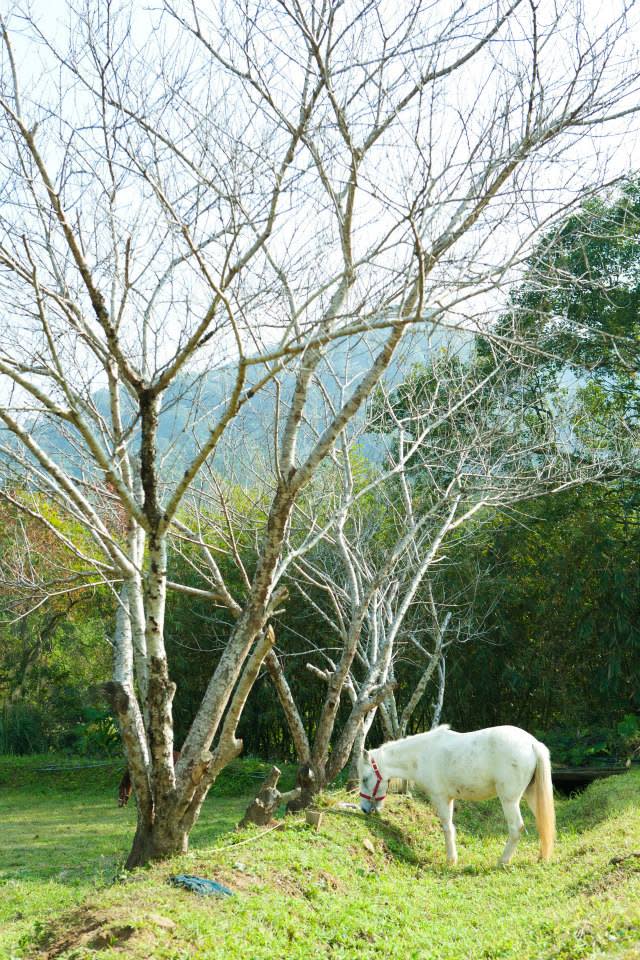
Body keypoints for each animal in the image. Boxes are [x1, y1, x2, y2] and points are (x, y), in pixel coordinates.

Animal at [360, 724, 556, 868]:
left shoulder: (440, 798)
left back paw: (502, 861)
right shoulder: (450, 799)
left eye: (364, 778)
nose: (364, 809)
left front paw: (451, 860)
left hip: (509, 800)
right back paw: (541, 857)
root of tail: (533, 744)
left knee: (516, 828)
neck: (422, 753)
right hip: (531, 795)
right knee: (543, 823)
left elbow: (447, 828)